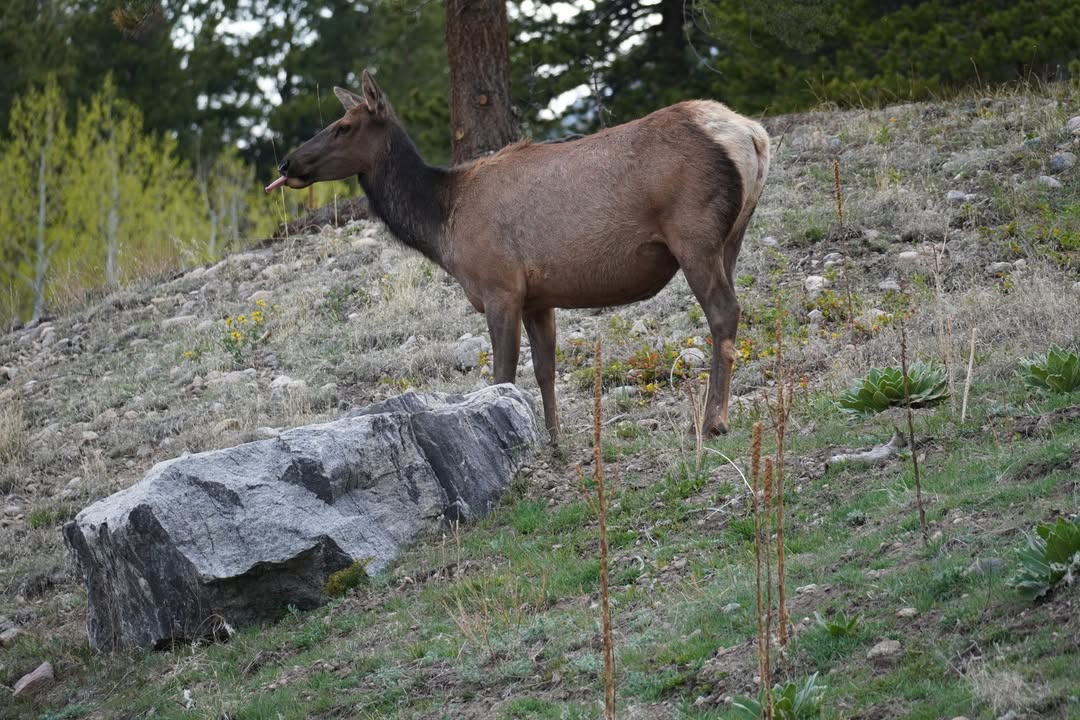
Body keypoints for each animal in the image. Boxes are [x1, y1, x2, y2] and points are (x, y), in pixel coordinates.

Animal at [266, 71, 770, 445]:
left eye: (344, 126)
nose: (286, 163)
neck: (443, 224)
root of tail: (752, 134)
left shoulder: (499, 287)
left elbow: (502, 374)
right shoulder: (538, 296)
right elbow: (546, 370)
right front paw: (553, 439)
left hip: (694, 235)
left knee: (724, 312)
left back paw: (713, 421)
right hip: (732, 236)